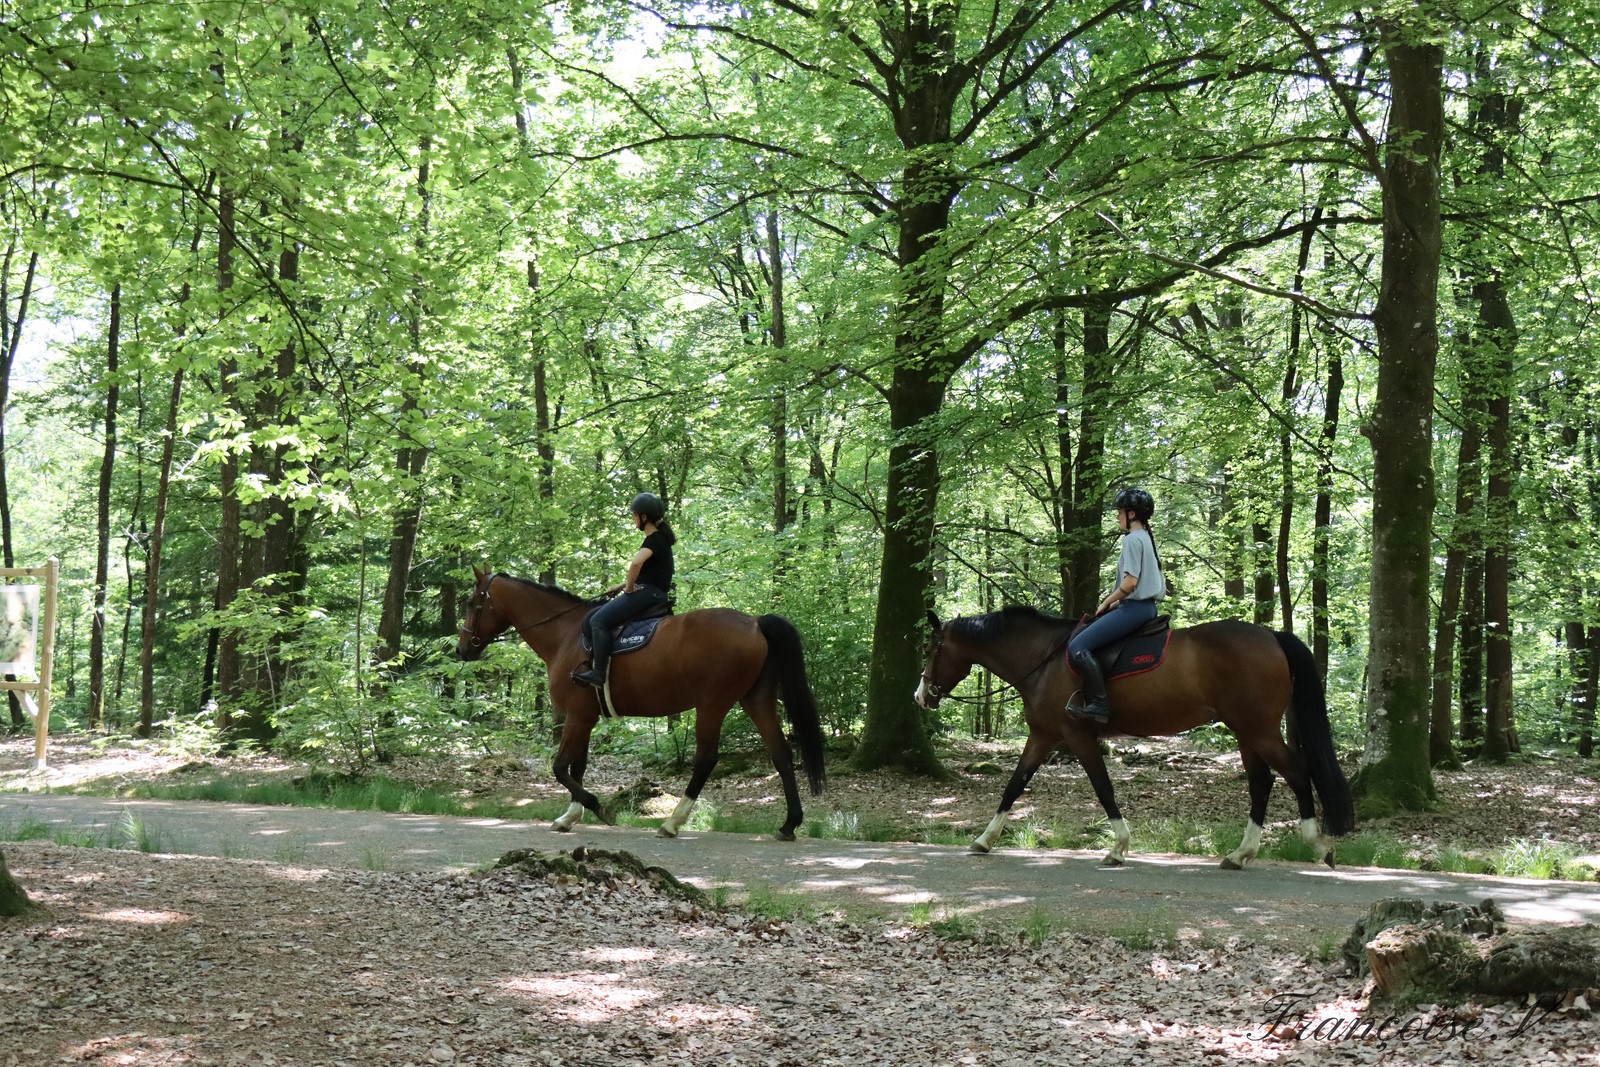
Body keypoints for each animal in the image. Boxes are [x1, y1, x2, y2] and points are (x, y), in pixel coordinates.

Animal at [456, 566, 826, 840]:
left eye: (473, 602)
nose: (461, 649)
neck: (565, 634)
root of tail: (755, 623)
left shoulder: (576, 715)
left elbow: (560, 767)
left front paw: (598, 808)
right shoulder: (585, 716)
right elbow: (578, 767)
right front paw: (570, 815)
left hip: (713, 704)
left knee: (706, 759)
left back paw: (672, 822)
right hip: (756, 700)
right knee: (781, 754)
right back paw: (789, 824)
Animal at [914, 607, 1354, 868]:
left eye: (931, 649)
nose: (921, 696)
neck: (1045, 659)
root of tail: (1272, 636)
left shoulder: (1076, 735)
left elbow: (1102, 787)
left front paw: (1118, 846)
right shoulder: (1043, 736)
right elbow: (1014, 785)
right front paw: (984, 840)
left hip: (1258, 729)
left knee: (1296, 774)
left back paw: (1318, 845)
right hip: (1247, 731)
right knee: (1261, 783)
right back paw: (1241, 853)